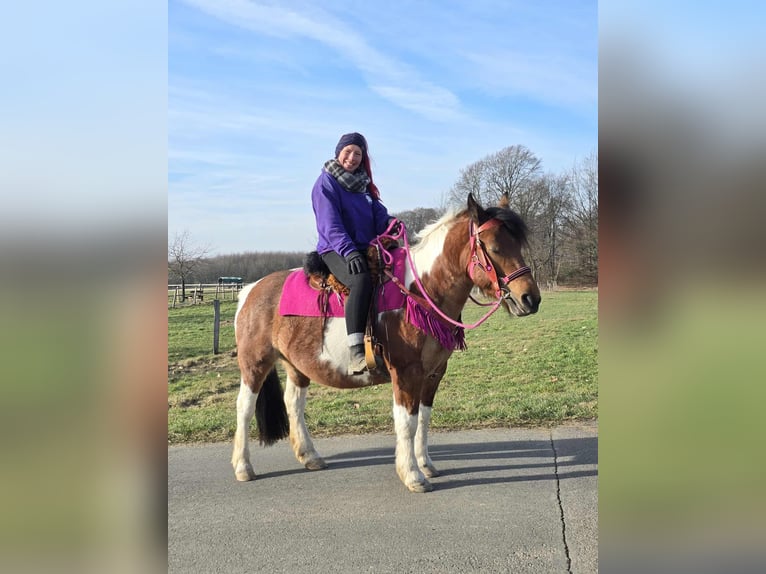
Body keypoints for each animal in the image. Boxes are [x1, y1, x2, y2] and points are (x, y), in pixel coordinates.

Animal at [231, 193, 541, 493]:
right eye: (494, 247)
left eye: (518, 244)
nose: (530, 298)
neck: (420, 292)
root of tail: (250, 290)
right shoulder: (406, 373)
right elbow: (407, 422)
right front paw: (412, 475)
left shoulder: (433, 373)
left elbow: (424, 418)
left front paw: (426, 464)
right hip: (255, 363)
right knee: (245, 407)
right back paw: (243, 467)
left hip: (297, 366)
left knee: (294, 403)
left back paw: (310, 456)